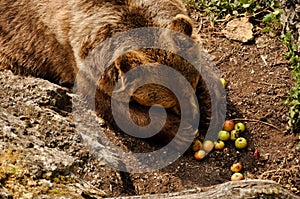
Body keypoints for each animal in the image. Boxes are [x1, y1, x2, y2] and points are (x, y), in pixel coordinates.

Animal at [0, 0, 225, 151]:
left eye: (192, 86)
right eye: (168, 103)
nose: (192, 116)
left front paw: (209, 107)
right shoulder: (79, 61)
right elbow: (111, 107)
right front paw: (180, 132)